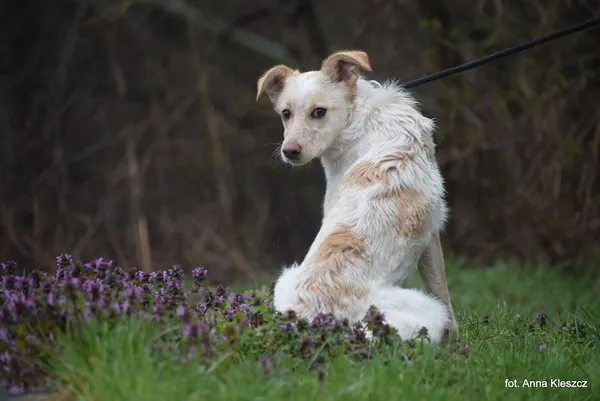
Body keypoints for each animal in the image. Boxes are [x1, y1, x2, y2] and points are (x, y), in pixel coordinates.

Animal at [255, 50, 458, 344]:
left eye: (319, 112)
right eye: (285, 113)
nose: (289, 151)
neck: (358, 120)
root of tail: (315, 321)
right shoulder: (431, 234)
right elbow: (444, 296)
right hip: (425, 311)